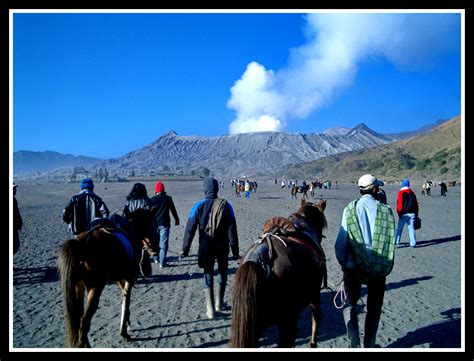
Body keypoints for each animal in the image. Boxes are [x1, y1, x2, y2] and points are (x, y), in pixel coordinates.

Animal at [57, 210, 154, 348]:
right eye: (153, 225)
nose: (155, 250)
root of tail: (81, 243)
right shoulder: (129, 278)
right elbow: (126, 302)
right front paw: (124, 332)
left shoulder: (121, 278)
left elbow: (125, 300)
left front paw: (126, 324)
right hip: (95, 287)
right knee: (84, 322)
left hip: (78, 286)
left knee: (79, 318)